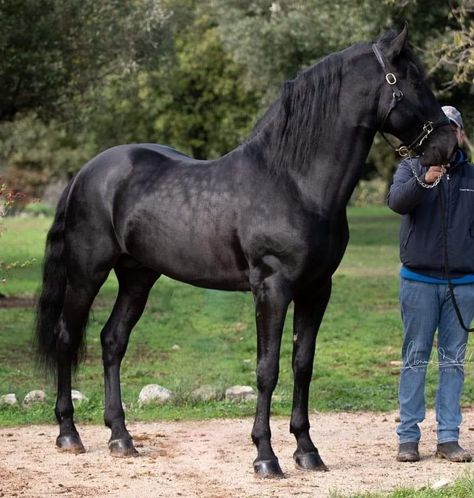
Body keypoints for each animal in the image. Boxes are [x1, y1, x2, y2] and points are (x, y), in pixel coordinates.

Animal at [35, 25, 458, 476]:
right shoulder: (271, 288)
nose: (449, 146)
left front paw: (307, 451)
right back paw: (69, 434)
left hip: (138, 276)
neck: (294, 182)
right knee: (67, 337)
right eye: (413, 81)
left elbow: (302, 364)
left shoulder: (317, 289)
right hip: (87, 272)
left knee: (112, 341)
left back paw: (120, 437)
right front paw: (266, 457)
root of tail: (87, 171)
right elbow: (267, 369)